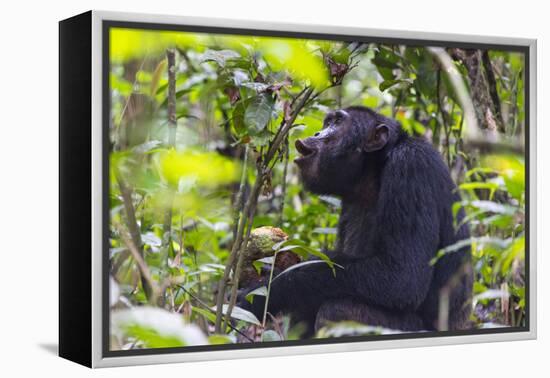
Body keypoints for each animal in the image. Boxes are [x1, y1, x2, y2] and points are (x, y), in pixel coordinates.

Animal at [242, 106, 474, 334]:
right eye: (327, 122)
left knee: (337, 310)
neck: (373, 174)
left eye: (337, 123)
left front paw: (264, 290)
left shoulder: (411, 168)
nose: (317, 133)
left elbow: (402, 276)